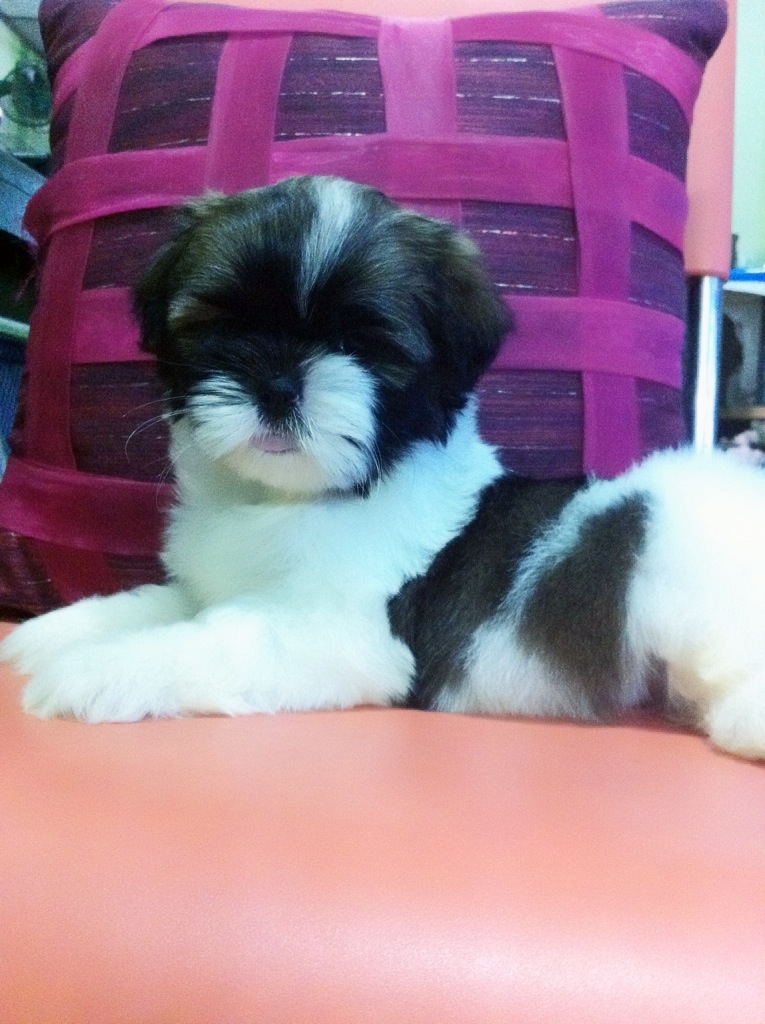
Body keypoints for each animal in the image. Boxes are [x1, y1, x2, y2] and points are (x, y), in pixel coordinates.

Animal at [3, 175, 765, 761]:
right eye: (223, 326)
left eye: (363, 345)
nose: (277, 383)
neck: (299, 500)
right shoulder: (220, 585)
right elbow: (164, 603)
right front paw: (60, 633)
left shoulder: (345, 635)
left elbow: (213, 641)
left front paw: (98, 669)